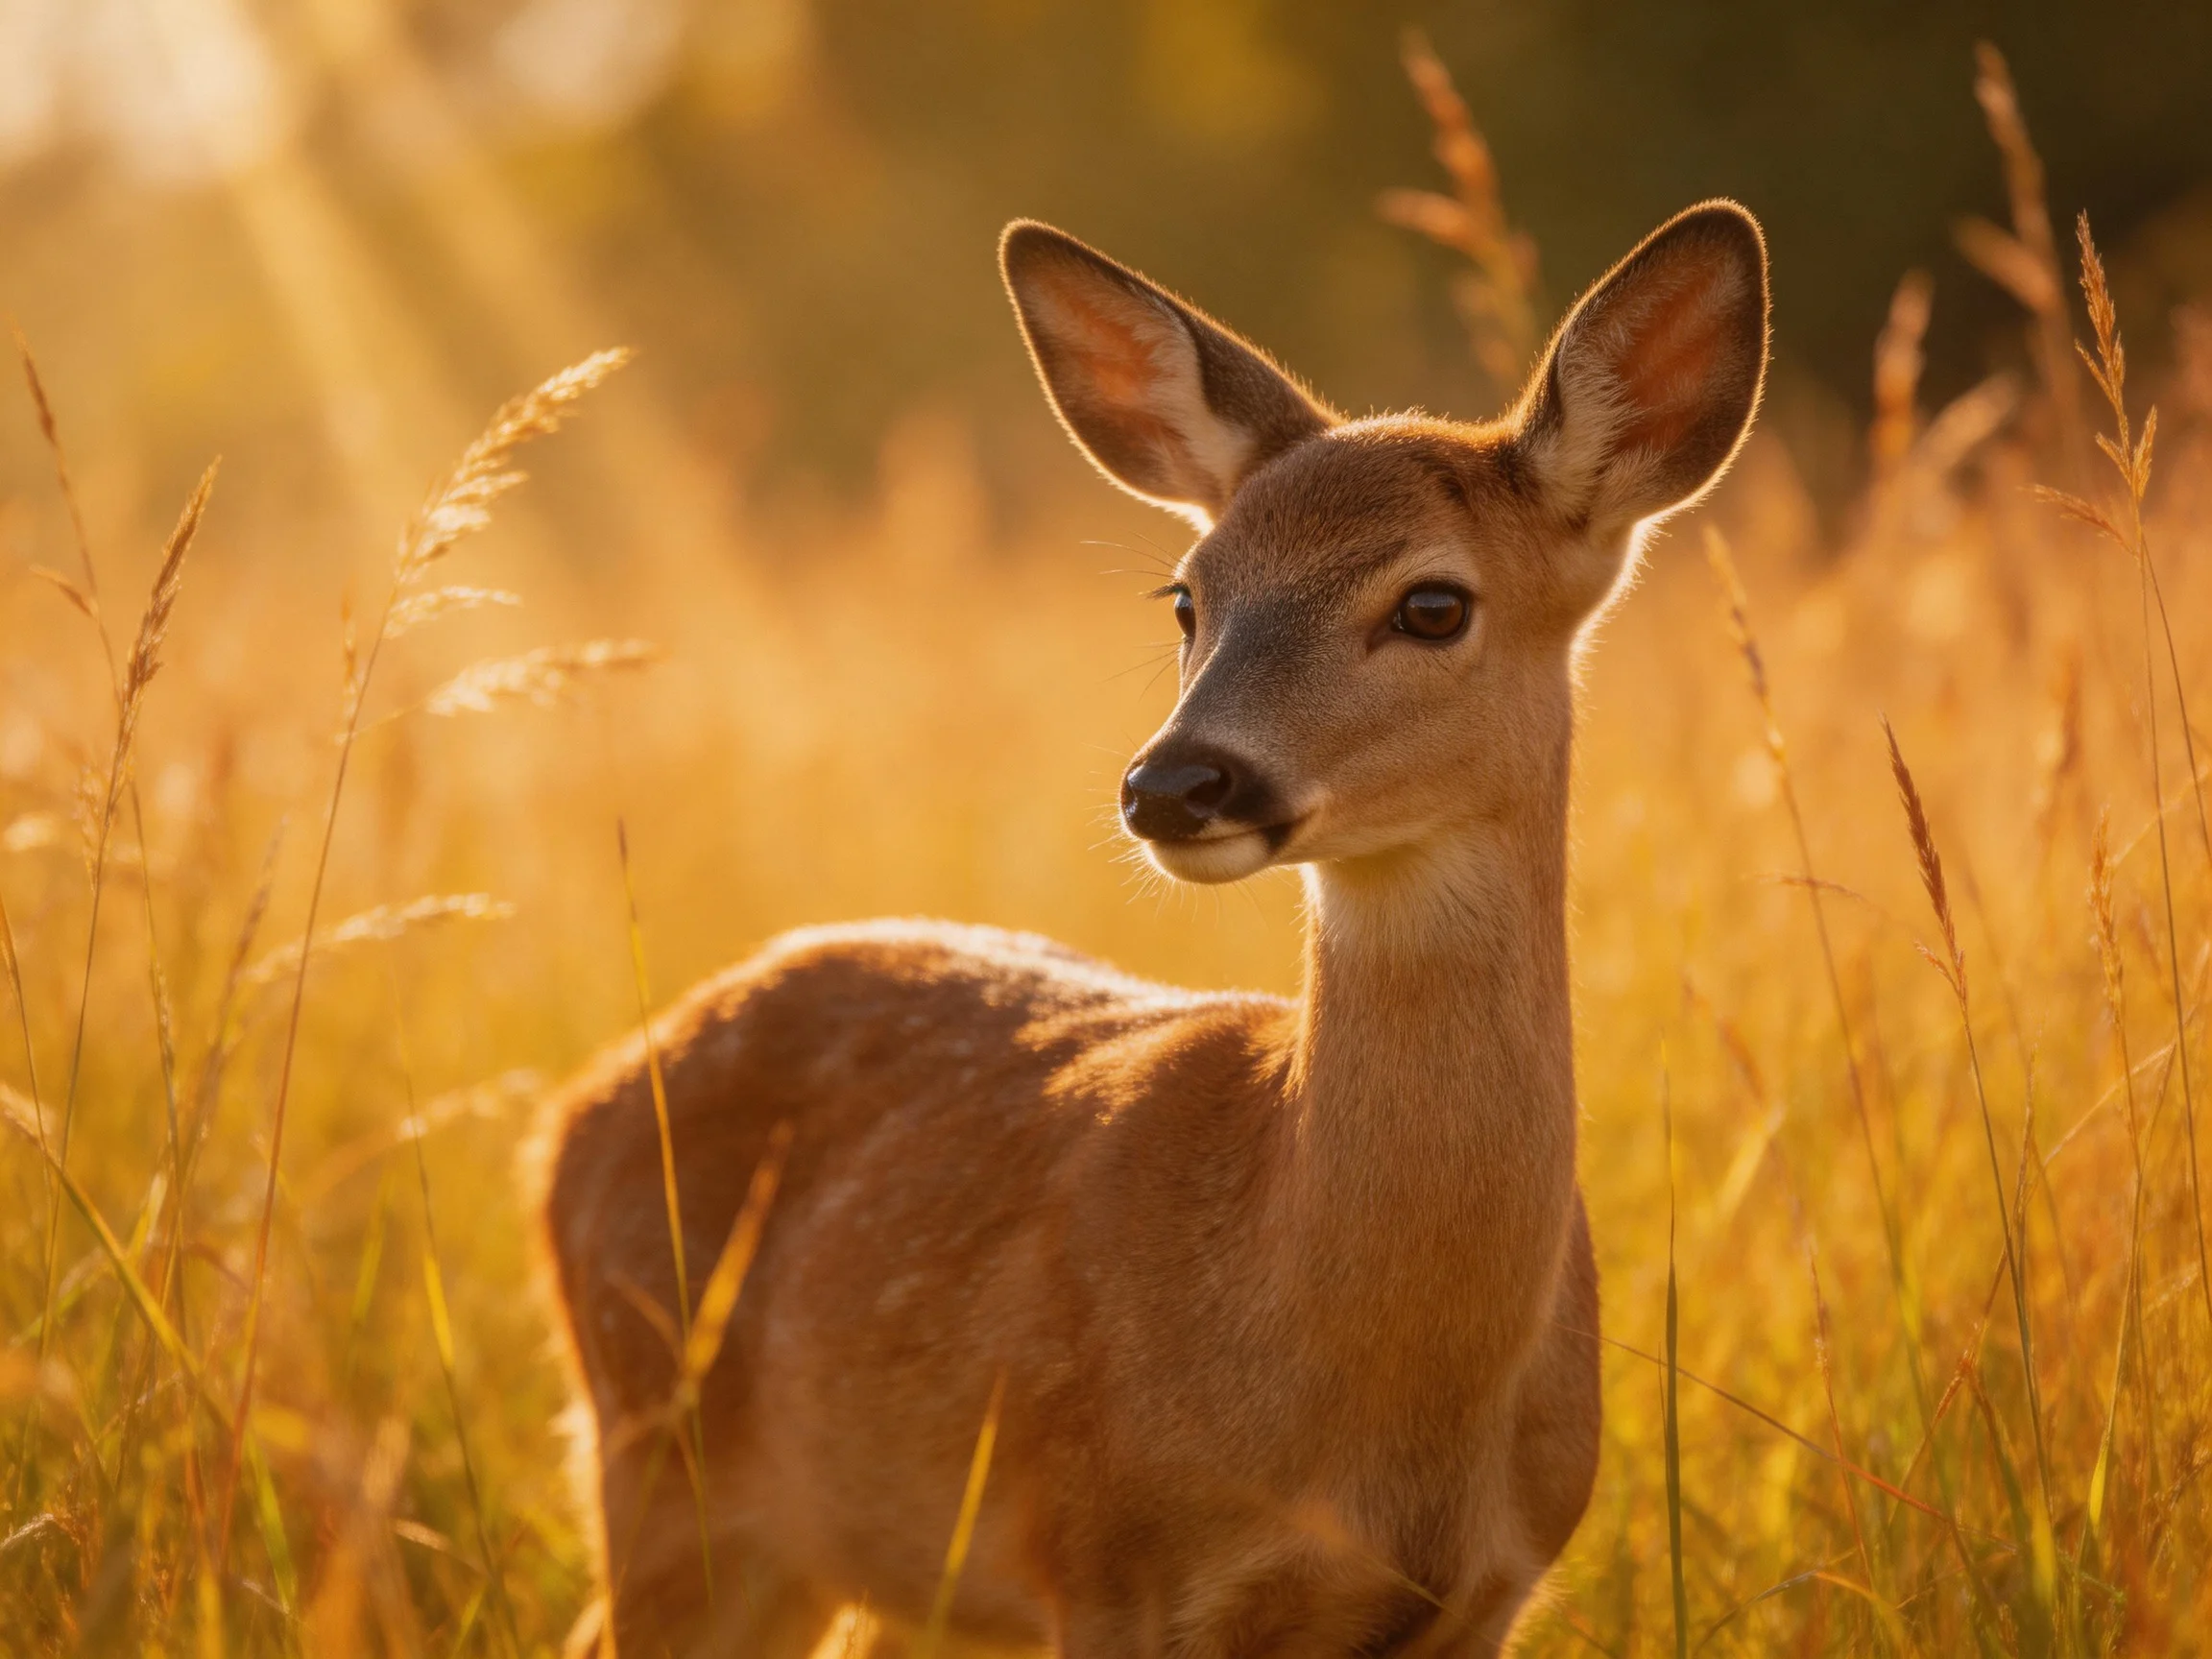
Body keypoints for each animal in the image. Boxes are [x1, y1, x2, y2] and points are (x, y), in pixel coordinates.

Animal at [537, 199, 1769, 1658]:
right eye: (1187, 596)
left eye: (1434, 603)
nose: (1176, 783)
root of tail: (567, 1116)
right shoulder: (1105, 1559)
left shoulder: (1489, 1595)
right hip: (666, 1476)